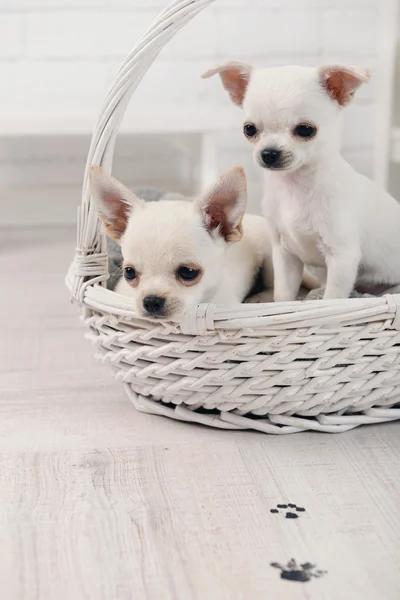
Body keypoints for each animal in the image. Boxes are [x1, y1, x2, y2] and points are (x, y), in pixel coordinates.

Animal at [205, 62, 400, 300]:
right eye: (249, 129)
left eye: (306, 129)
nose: (269, 153)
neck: (296, 186)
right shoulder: (284, 254)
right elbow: (283, 295)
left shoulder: (342, 258)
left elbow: (332, 299)